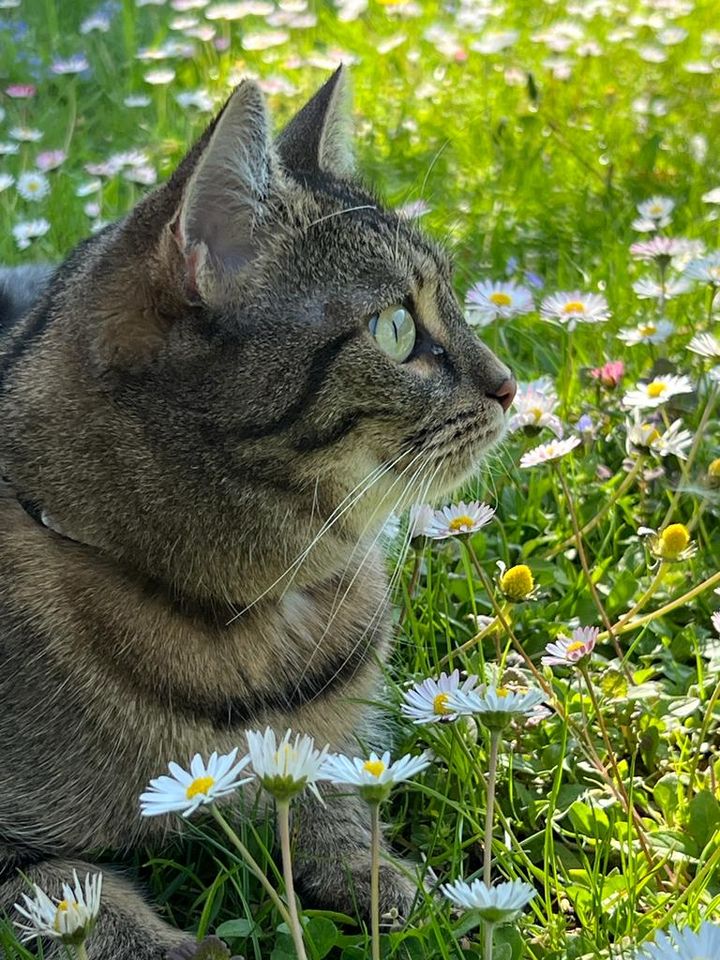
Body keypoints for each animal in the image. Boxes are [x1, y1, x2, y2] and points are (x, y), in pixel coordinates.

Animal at [1, 69, 516, 960]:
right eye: (396, 328)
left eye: (458, 298)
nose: (511, 386)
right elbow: (76, 894)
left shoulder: (325, 752)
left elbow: (332, 803)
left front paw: (389, 880)